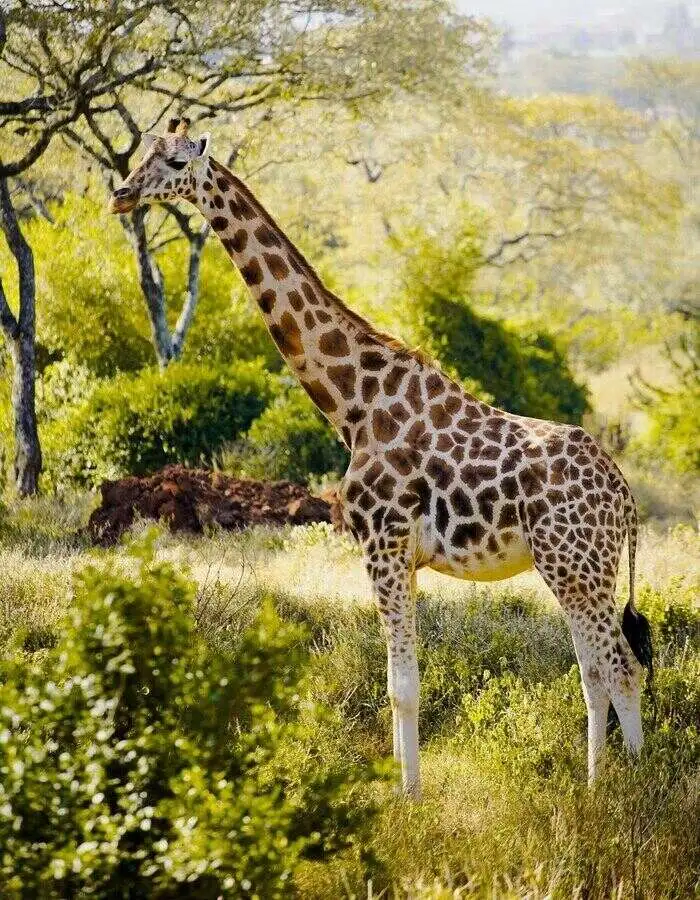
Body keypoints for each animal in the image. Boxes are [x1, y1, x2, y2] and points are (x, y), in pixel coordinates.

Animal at [108, 118, 652, 796]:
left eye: (176, 161)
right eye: (144, 152)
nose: (121, 193)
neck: (354, 405)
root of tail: (626, 499)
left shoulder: (383, 545)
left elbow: (402, 688)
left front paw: (408, 797)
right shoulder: (399, 557)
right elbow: (397, 684)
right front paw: (401, 785)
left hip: (575, 566)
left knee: (621, 668)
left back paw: (625, 796)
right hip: (580, 571)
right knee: (596, 673)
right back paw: (597, 785)